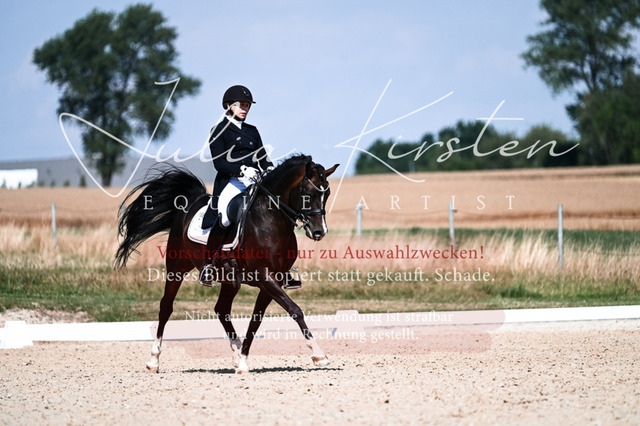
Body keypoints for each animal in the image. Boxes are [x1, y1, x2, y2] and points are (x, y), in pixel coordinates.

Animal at [114, 154, 339, 373]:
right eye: (307, 194)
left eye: (326, 194)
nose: (319, 232)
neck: (272, 220)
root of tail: (192, 200)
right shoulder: (264, 276)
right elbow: (295, 310)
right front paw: (319, 355)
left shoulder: (272, 280)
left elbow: (256, 320)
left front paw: (243, 361)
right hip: (176, 268)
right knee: (166, 307)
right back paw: (154, 361)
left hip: (229, 280)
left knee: (221, 309)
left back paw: (236, 353)